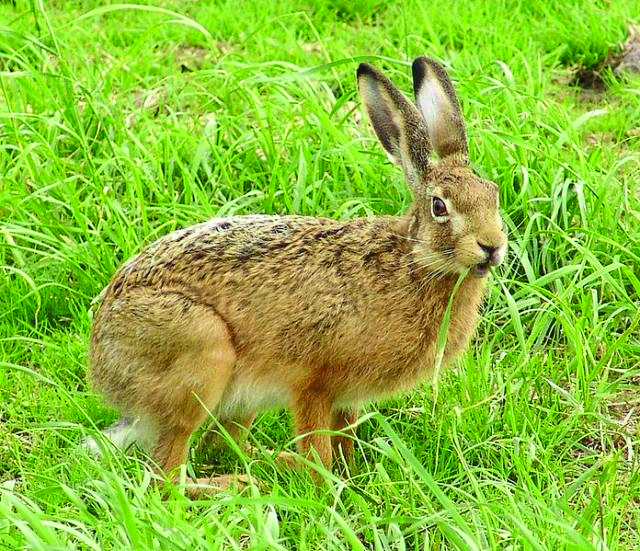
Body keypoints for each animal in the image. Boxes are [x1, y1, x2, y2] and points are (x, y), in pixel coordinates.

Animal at [86, 57, 507, 491]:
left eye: (493, 194)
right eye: (440, 207)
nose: (492, 246)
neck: (415, 261)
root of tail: (102, 362)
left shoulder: (347, 400)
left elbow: (345, 441)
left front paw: (351, 477)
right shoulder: (312, 384)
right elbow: (318, 451)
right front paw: (324, 487)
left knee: (214, 446)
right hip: (201, 353)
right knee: (167, 477)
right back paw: (236, 484)